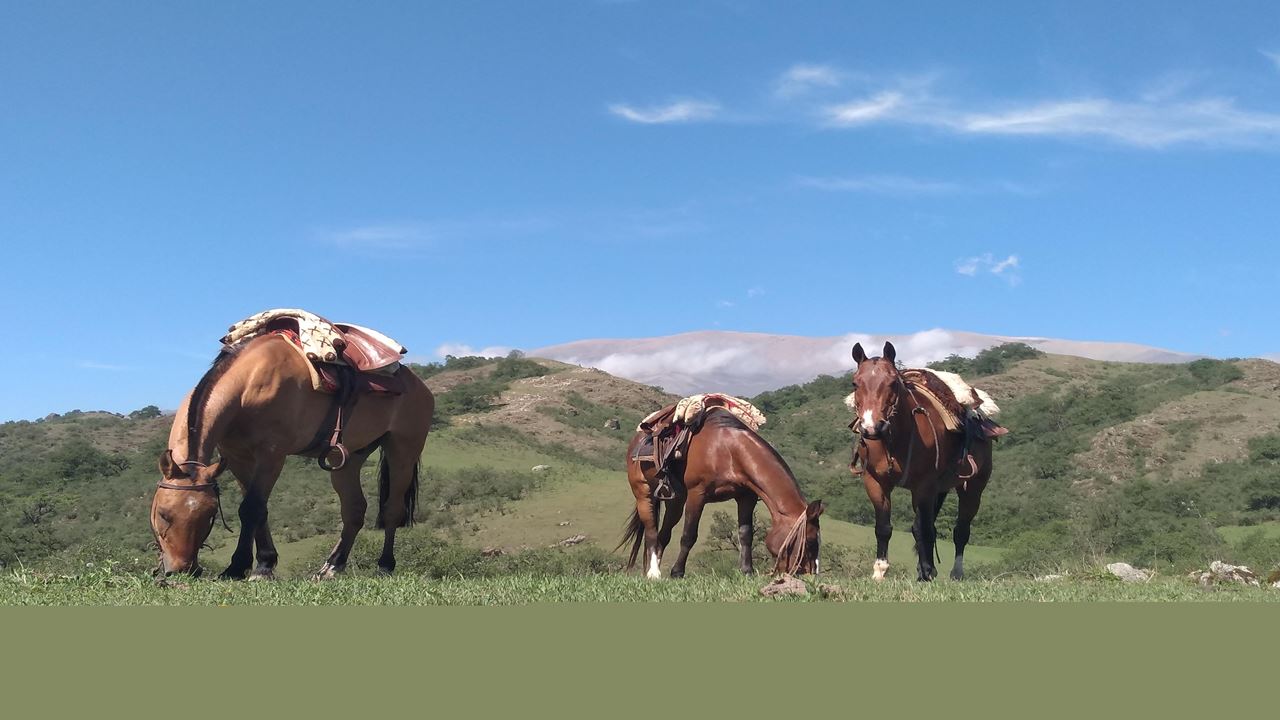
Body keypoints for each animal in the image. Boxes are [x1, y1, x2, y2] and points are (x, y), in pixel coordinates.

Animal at [150, 332, 434, 579]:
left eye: (209, 516)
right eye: (163, 514)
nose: (183, 570)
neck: (248, 384)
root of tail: (420, 387)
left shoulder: (272, 455)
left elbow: (252, 508)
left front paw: (246, 567)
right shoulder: (238, 458)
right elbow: (257, 509)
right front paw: (259, 563)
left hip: (403, 451)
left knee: (392, 509)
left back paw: (385, 565)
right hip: (348, 460)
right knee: (354, 509)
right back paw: (332, 566)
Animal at [620, 408, 824, 579]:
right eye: (810, 541)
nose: (810, 575)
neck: (729, 451)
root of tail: (638, 438)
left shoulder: (746, 497)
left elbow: (746, 535)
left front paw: (747, 571)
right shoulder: (697, 495)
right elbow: (688, 536)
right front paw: (677, 572)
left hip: (675, 501)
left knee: (664, 534)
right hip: (643, 493)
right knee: (651, 532)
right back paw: (653, 573)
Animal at [849, 341, 992, 582]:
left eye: (893, 382)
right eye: (855, 383)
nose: (871, 427)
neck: (894, 439)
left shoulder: (924, 486)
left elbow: (925, 529)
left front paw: (926, 572)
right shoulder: (875, 484)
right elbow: (884, 527)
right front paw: (880, 570)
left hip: (972, 488)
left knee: (960, 531)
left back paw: (955, 572)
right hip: (939, 489)